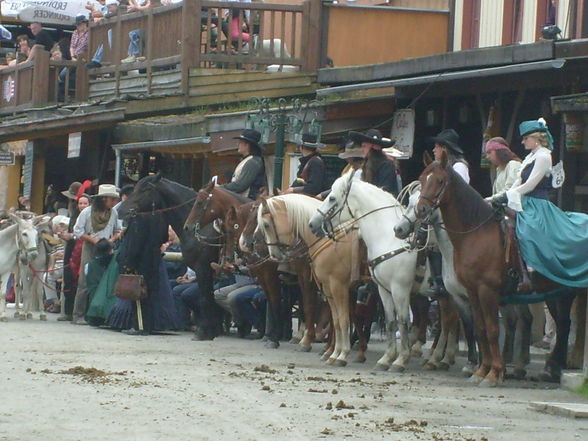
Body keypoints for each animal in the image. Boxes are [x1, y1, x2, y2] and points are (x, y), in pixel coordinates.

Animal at [119, 174, 223, 338]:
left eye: (146, 189)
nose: (120, 210)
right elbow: (209, 298)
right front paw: (212, 330)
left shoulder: (203, 268)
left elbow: (205, 298)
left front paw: (204, 331)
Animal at [414, 152, 580, 384]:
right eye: (422, 179)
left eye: (439, 180)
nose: (421, 210)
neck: (477, 233)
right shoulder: (472, 292)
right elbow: (480, 329)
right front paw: (482, 370)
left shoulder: (487, 291)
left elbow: (492, 329)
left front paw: (494, 373)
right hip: (552, 292)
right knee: (562, 325)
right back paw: (551, 370)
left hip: (564, 293)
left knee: (562, 324)